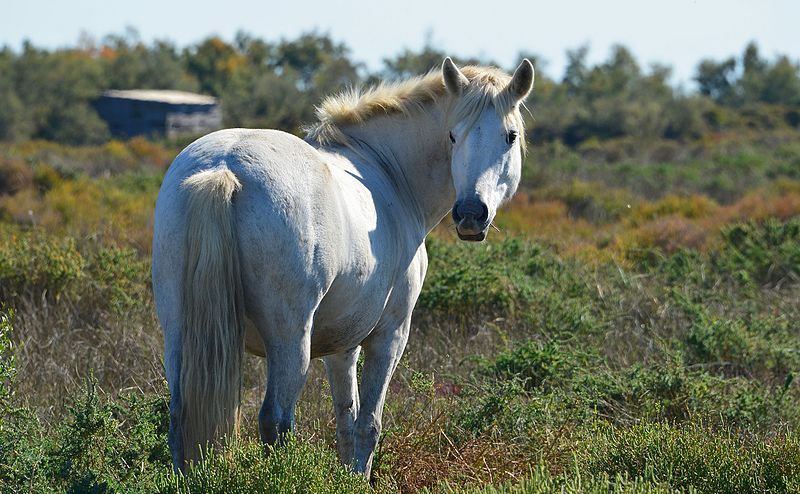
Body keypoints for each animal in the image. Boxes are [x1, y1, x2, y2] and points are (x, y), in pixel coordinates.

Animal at [153, 56, 536, 476]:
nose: (470, 214)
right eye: (453, 135)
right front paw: (358, 478)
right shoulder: (390, 335)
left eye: (509, 136)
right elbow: (369, 423)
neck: (389, 174)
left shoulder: (343, 345)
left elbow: (346, 422)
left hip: (179, 332)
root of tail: (224, 168)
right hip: (290, 341)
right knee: (275, 420)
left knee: (181, 416)